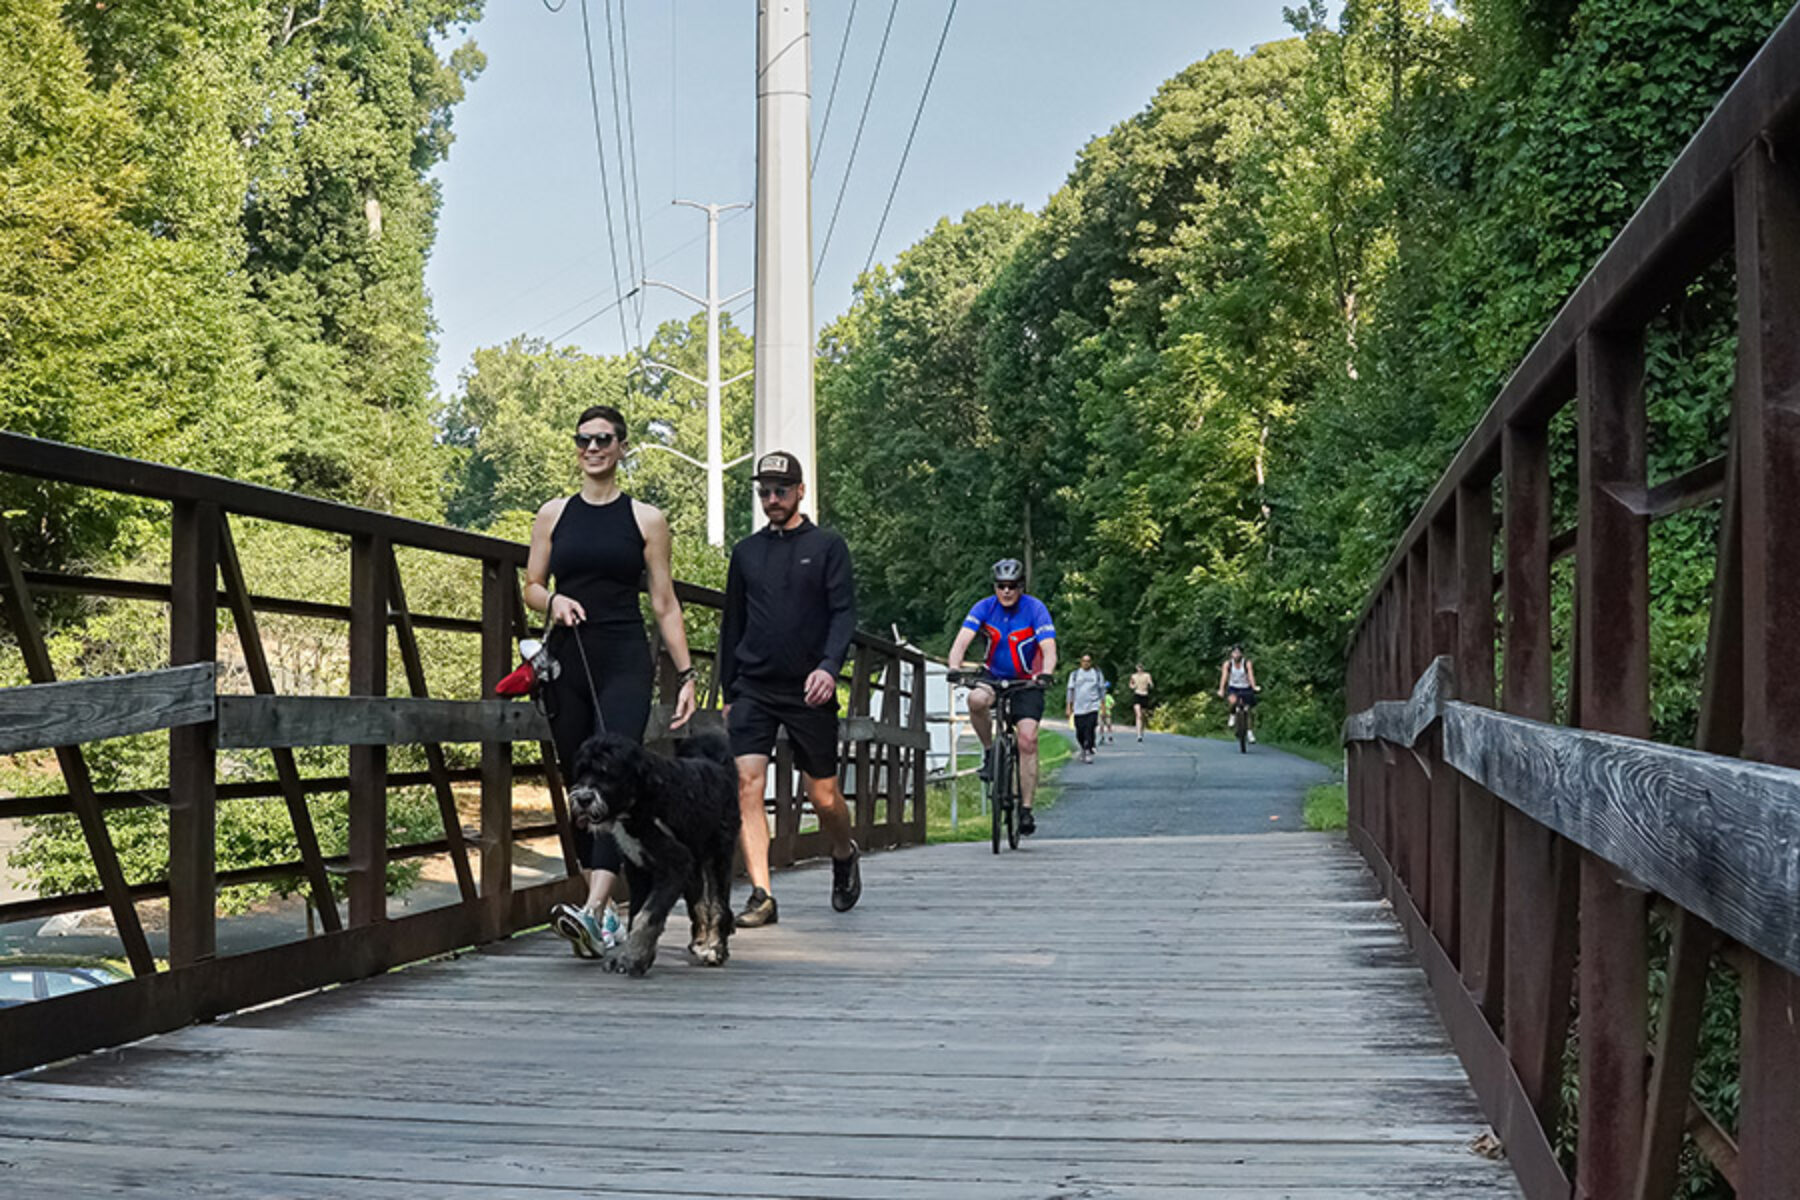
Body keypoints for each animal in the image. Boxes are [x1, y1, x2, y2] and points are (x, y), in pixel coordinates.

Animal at [558, 734, 734, 978]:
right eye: (582, 771)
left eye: (606, 772)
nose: (583, 799)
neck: (640, 801)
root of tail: (716, 765)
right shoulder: (638, 869)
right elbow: (635, 914)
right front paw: (630, 956)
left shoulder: (675, 865)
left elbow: (647, 916)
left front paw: (634, 959)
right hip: (695, 864)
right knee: (698, 903)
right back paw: (700, 942)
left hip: (719, 856)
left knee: (719, 905)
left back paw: (716, 948)